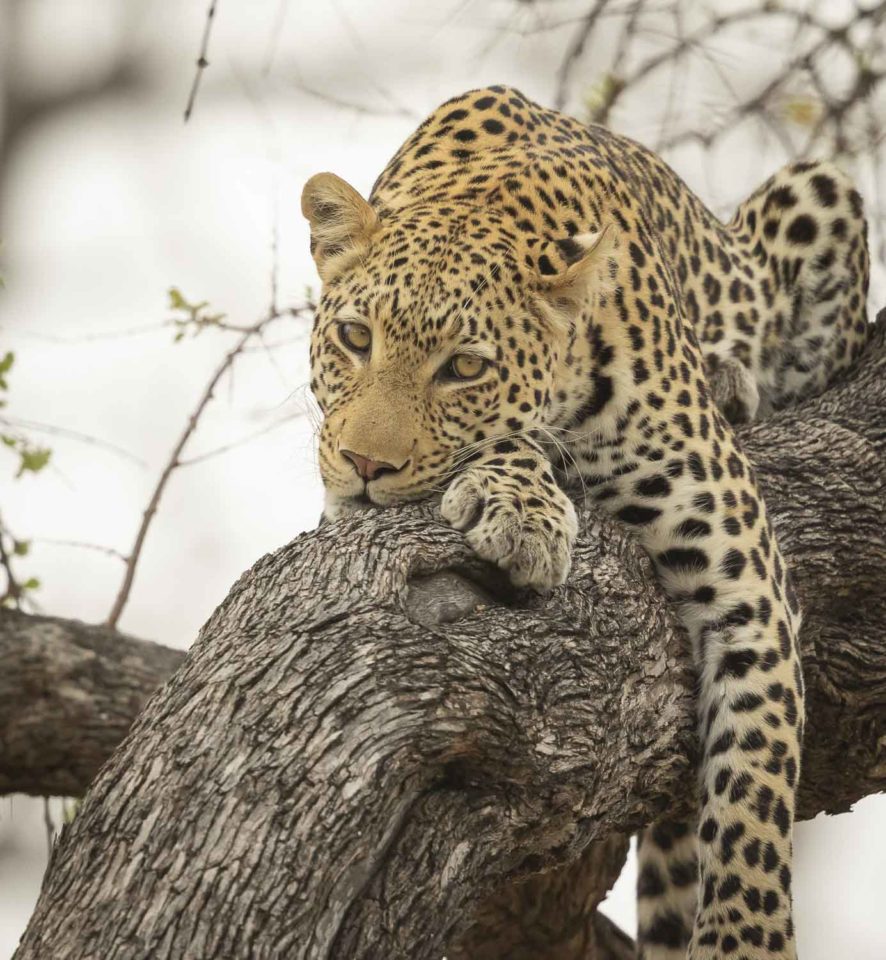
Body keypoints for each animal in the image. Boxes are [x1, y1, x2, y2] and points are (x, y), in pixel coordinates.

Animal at [301, 85, 870, 959]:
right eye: (355, 338)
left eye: (465, 367)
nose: (365, 464)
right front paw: (522, 506)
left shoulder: (747, 579)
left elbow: (757, 779)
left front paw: (745, 938)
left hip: (820, 195)